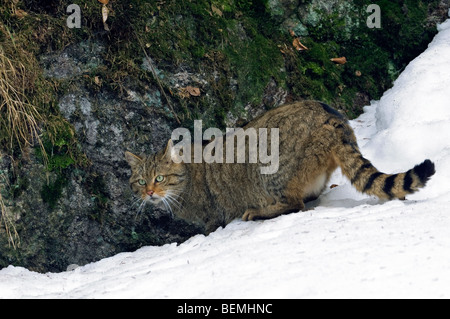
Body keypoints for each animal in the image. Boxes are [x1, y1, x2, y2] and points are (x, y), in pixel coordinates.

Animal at [125, 101, 434, 234]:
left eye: (159, 178)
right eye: (140, 182)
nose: (149, 192)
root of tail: (328, 114)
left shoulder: (213, 215)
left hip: (270, 172)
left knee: (295, 204)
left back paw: (258, 212)